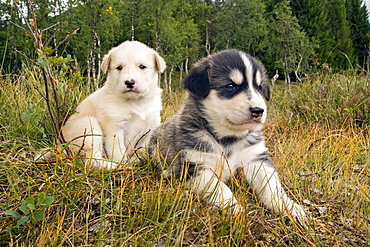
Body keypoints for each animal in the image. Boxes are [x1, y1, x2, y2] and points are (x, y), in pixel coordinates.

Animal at [59, 41, 166, 169]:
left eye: (142, 66)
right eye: (119, 67)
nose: (129, 82)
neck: (136, 102)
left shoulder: (150, 129)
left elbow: (141, 151)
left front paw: (139, 161)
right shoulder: (115, 128)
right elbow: (119, 151)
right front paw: (124, 165)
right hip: (88, 126)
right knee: (91, 160)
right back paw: (115, 166)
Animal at [150, 48, 306, 220]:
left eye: (259, 87)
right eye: (231, 86)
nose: (258, 110)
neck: (227, 138)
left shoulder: (256, 159)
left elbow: (271, 186)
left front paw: (288, 206)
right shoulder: (196, 166)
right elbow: (219, 188)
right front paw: (234, 208)